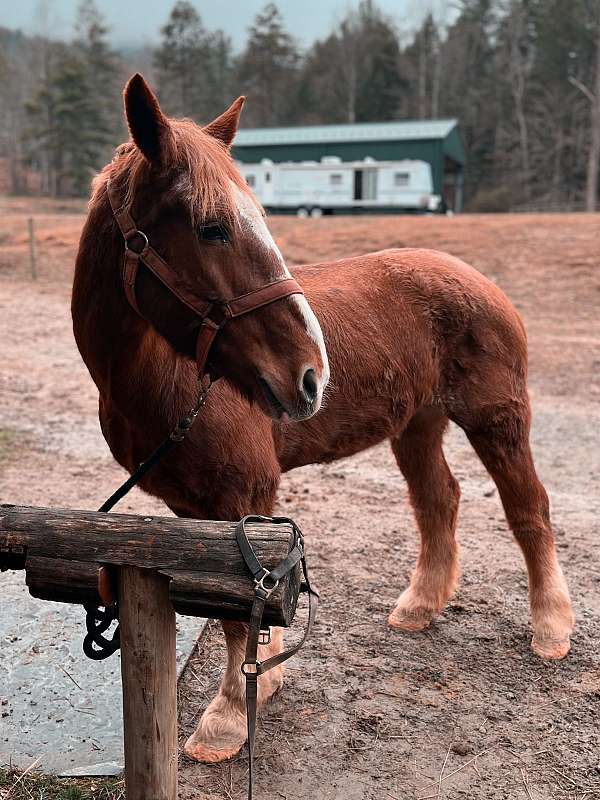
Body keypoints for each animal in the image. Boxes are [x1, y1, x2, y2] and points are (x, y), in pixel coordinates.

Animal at [72, 78, 576, 764]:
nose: (312, 374)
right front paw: (263, 679)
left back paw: (551, 626)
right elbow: (239, 608)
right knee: (439, 499)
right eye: (212, 229)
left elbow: (240, 614)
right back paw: (421, 605)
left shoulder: (243, 494)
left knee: (528, 507)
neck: (169, 380)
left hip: (496, 419)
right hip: (416, 425)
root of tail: (478, 279)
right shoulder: (193, 505)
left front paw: (229, 717)